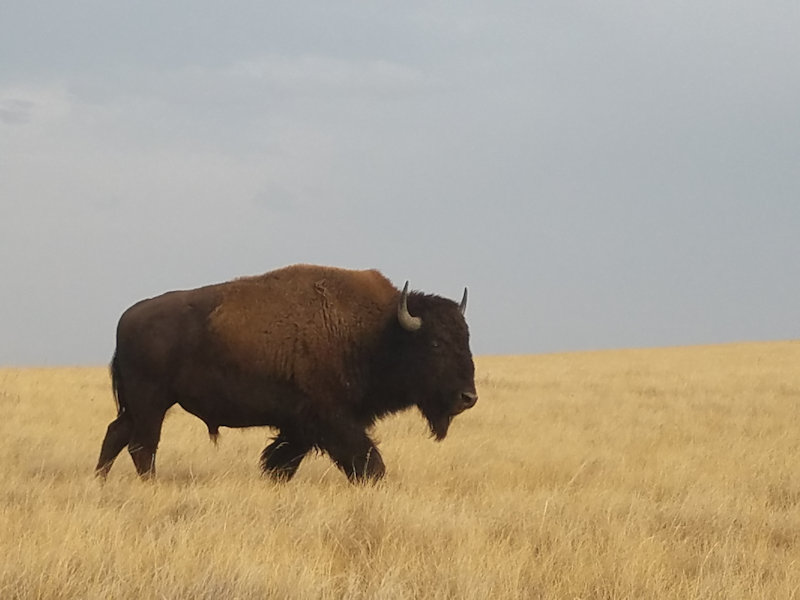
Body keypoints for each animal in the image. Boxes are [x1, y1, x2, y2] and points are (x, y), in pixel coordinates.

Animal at [95, 264, 477, 483]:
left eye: (466, 338)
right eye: (435, 344)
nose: (468, 397)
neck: (377, 333)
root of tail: (127, 318)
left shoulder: (301, 426)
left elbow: (283, 460)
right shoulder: (331, 421)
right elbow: (368, 461)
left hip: (140, 405)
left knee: (117, 434)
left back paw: (102, 481)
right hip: (151, 402)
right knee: (142, 445)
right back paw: (148, 484)